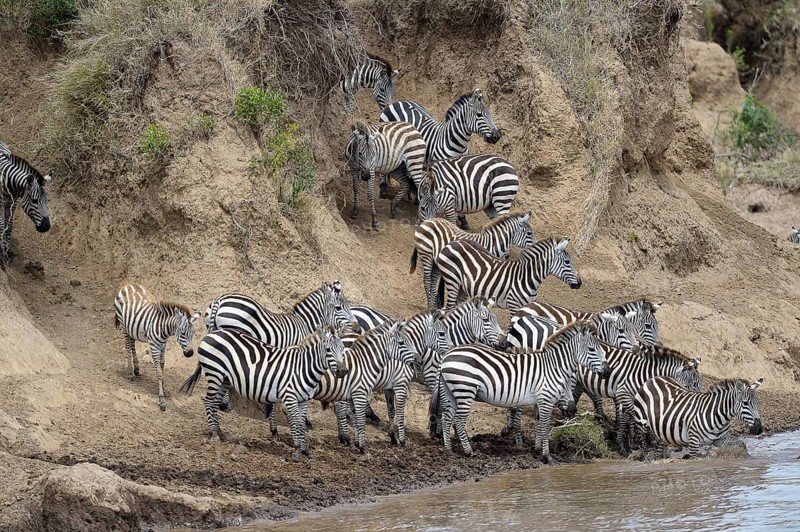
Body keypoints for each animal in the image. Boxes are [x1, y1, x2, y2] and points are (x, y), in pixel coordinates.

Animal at [179, 326, 348, 462]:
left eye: (343, 350)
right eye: (328, 350)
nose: (343, 371)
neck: (303, 368)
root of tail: (213, 333)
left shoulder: (303, 400)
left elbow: (300, 423)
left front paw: (306, 451)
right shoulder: (290, 397)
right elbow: (297, 424)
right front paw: (297, 451)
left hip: (225, 379)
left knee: (214, 403)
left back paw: (221, 433)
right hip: (215, 373)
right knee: (208, 401)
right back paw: (214, 434)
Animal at [430, 322, 610, 462]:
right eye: (592, 350)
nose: (608, 372)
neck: (553, 367)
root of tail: (447, 355)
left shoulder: (540, 399)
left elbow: (539, 423)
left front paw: (537, 449)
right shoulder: (545, 399)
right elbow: (545, 425)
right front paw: (546, 456)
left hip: (450, 391)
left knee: (447, 418)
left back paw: (448, 450)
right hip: (465, 389)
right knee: (459, 421)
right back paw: (469, 452)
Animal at [435, 237, 582, 313]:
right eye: (567, 262)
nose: (580, 283)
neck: (527, 278)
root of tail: (451, 243)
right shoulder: (514, 305)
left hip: (463, 288)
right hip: (452, 282)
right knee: (448, 309)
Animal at [632, 376, 763, 458]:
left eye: (757, 403)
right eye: (745, 403)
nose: (759, 429)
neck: (717, 415)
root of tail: (653, 379)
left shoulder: (721, 439)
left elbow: (742, 445)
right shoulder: (694, 442)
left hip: (661, 428)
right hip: (641, 423)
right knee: (643, 444)